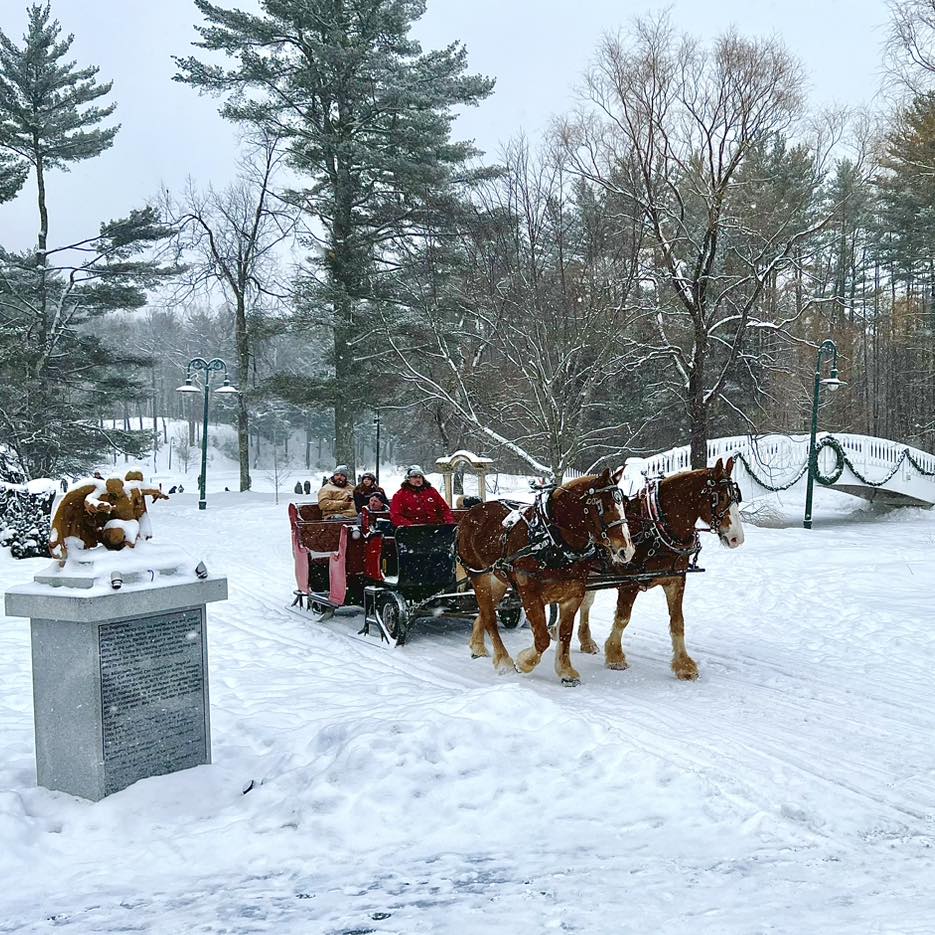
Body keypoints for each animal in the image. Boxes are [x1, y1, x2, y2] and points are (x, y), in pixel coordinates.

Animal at [456, 472, 636, 684]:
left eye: (623, 503)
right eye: (605, 507)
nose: (627, 550)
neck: (551, 540)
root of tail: (469, 513)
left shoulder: (573, 594)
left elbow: (565, 633)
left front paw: (566, 671)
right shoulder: (530, 594)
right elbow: (542, 638)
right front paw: (523, 663)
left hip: (498, 579)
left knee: (484, 612)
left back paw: (477, 646)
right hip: (479, 577)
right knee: (490, 617)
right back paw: (503, 661)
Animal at [576, 458, 744, 680]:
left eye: (736, 497)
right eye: (721, 497)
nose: (737, 538)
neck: (656, 526)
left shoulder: (676, 580)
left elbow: (678, 622)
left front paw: (684, 665)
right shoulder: (629, 582)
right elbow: (622, 618)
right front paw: (615, 656)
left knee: (585, 602)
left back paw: (583, 640)